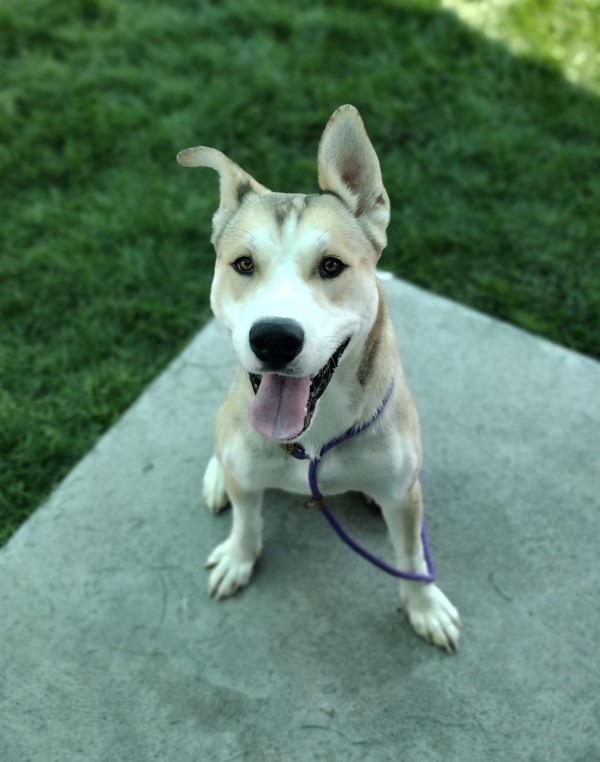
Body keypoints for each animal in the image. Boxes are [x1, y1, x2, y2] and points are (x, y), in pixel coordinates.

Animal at [176, 105, 462, 652]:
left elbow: (412, 556)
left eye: (332, 265)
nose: (273, 339)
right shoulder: (249, 471)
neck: (310, 442)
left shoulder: (404, 495)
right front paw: (239, 557)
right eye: (243, 264)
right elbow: (247, 519)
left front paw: (424, 606)